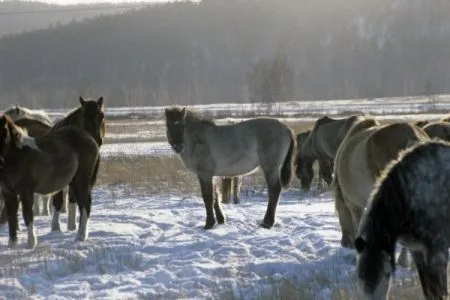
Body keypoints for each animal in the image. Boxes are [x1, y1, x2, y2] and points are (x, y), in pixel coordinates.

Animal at [0, 115, 99, 248]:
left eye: (4, 132)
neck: (18, 155)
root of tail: (90, 138)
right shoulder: (8, 193)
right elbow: (11, 217)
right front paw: (12, 244)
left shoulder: (26, 192)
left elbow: (27, 215)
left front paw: (31, 244)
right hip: (73, 182)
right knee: (82, 204)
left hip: (81, 180)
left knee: (86, 205)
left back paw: (80, 236)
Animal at [165, 106, 296, 229]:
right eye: (168, 126)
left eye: (182, 125)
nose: (178, 146)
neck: (197, 140)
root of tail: (286, 129)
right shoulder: (212, 175)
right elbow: (216, 196)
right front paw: (220, 219)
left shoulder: (204, 174)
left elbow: (208, 197)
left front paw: (209, 224)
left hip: (270, 168)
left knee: (274, 191)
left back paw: (267, 222)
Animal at [356, 140, 450, 300]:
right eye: (360, 277)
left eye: (387, 274)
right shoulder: (417, 251)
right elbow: (428, 291)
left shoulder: (437, 253)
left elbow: (439, 292)